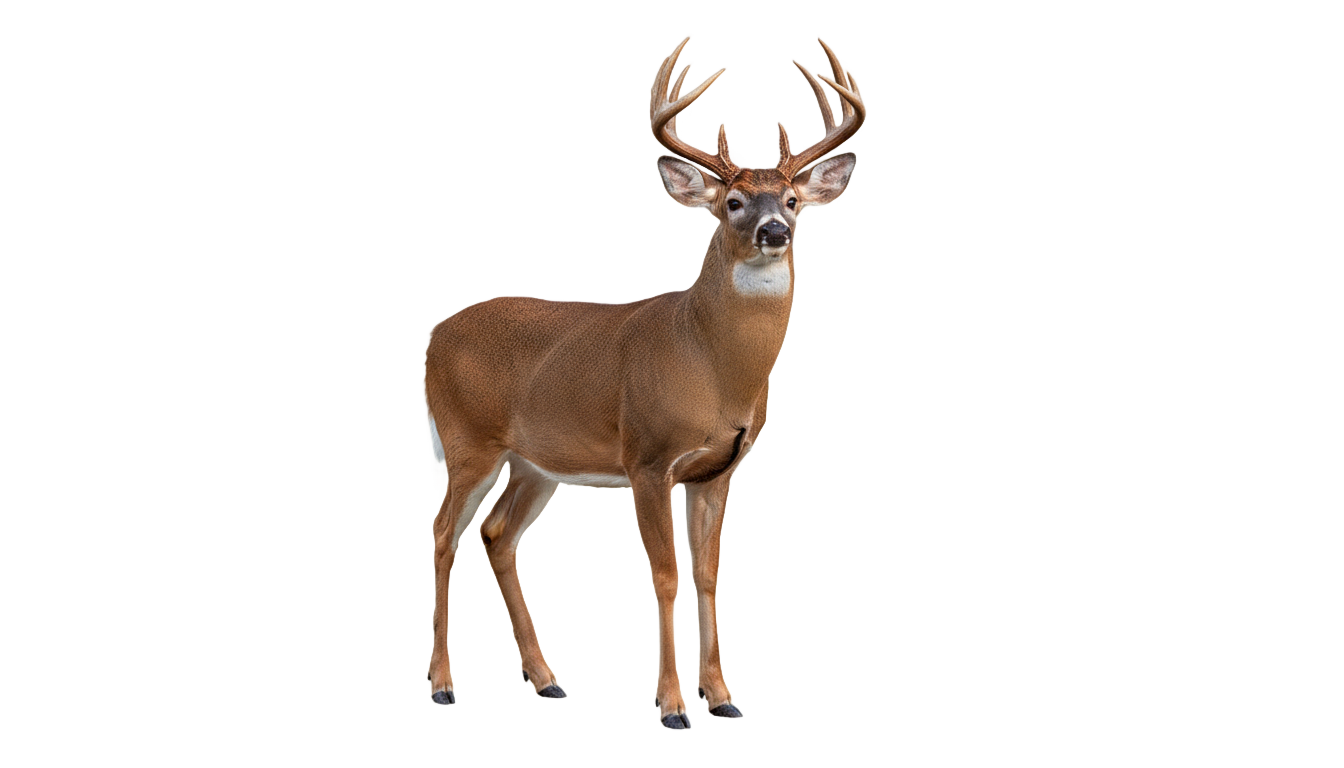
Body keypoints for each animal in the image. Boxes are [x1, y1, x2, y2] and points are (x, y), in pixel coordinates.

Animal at [421, 37, 866, 737]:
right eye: (731, 202)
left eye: (793, 198)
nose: (776, 231)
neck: (708, 366)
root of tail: (436, 333)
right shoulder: (649, 457)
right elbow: (664, 574)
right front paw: (674, 707)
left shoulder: (718, 468)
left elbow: (707, 575)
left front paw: (725, 699)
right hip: (466, 440)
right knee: (442, 535)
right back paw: (442, 688)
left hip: (532, 463)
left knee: (495, 536)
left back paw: (548, 681)